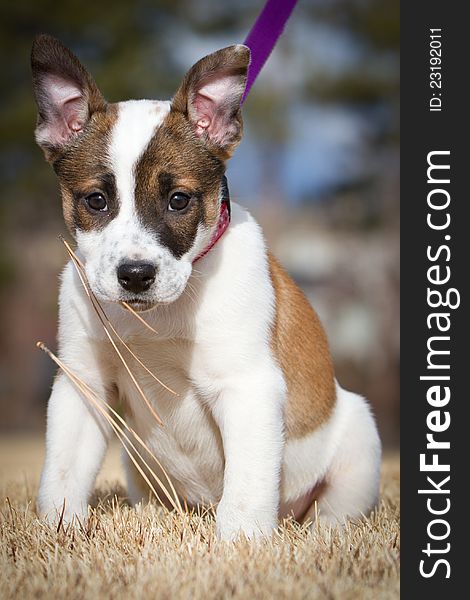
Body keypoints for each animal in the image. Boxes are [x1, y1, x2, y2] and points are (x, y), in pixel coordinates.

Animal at [32, 34, 382, 540]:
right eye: (96, 201)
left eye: (179, 200)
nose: (135, 275)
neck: (157, 317)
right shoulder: (83, 384)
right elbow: (63, 472)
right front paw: (59, 527)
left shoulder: (248, 386)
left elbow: (247, 486)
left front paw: (242, 541)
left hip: (358, 437)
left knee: (333, 510)